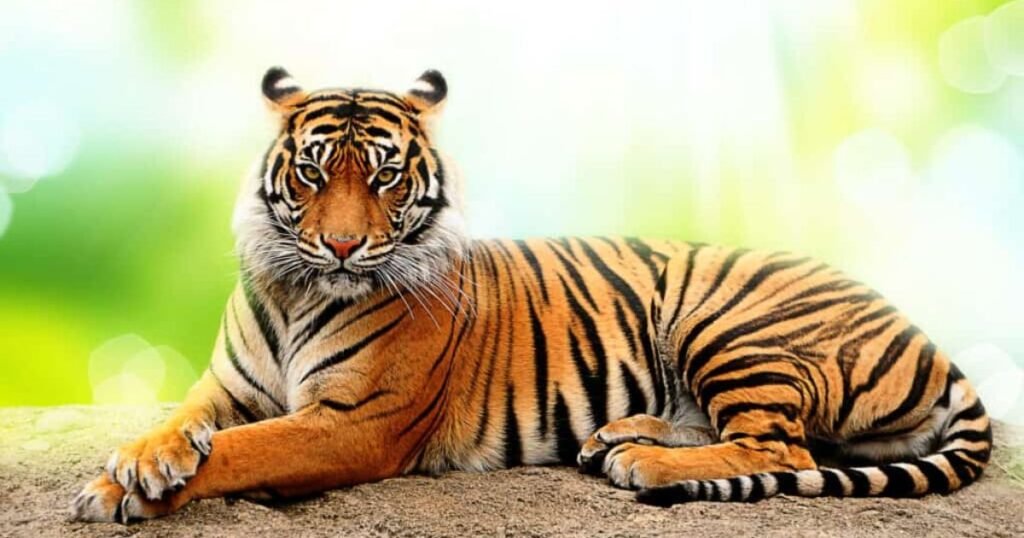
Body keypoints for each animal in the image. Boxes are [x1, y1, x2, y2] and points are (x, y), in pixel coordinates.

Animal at [71, 67, 992, 523]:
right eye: (311, 172)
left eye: (385, 177)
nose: (341, 245)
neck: (300, 291)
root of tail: (929, 338)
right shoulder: (224, 388)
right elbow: (181, 426)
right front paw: (134, 465)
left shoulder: (353, 423)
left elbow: (242, 451)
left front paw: (123, 491)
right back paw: (618, 436)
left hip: (729, 320)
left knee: (782, 449)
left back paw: (643, 461)